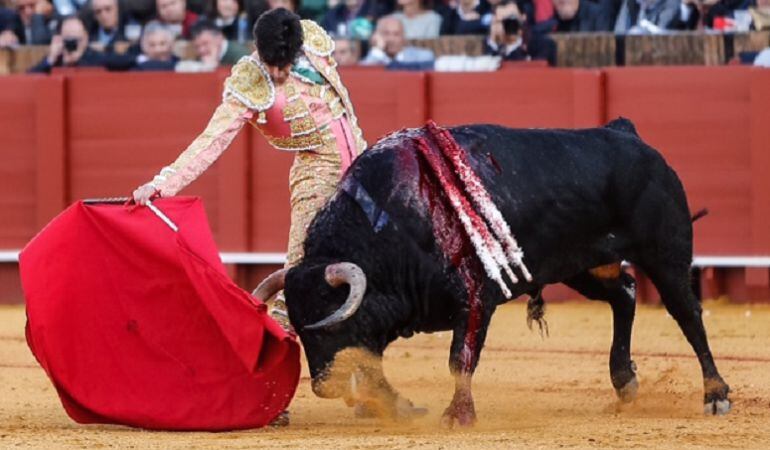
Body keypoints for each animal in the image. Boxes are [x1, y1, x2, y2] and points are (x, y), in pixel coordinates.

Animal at [260, 118, 728, 426]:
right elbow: (374, 365)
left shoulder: (474, 299)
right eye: (298, 328)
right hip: (582, 265)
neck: (390, 224)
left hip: (664, 253)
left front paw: (457, 415)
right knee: (626, 294)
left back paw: (716, 395)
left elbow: (459, 358)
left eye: (329, 324)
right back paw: (625, 382)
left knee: (687, 314)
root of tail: (627, 133)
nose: (324, 386)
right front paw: (401, 408)